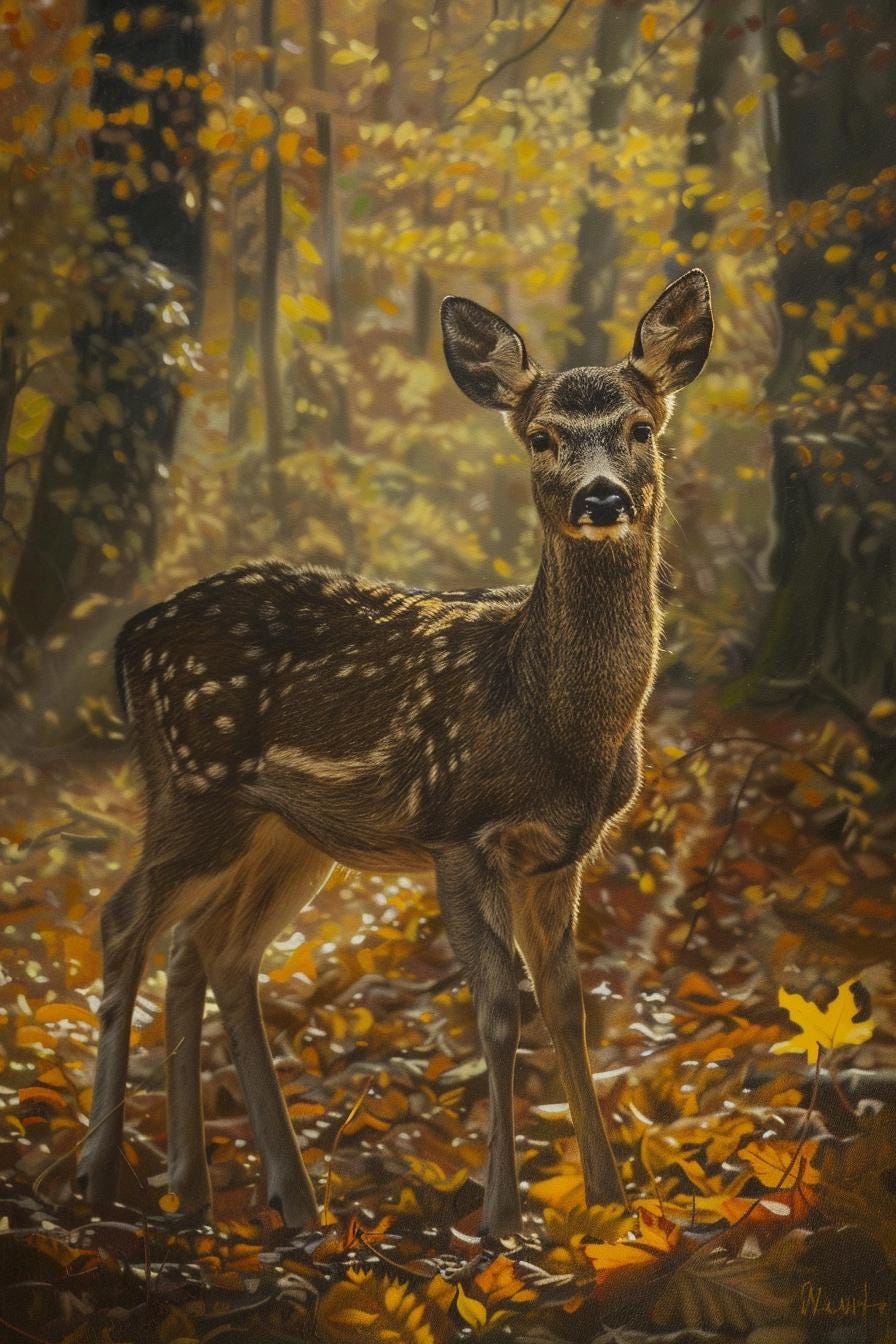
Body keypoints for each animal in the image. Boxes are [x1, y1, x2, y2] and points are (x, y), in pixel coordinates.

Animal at [76, 270, 712, 1238]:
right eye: (541, 436)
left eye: (641, 427)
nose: (601, 499)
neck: (549, 716)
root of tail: (126, 641)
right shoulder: (458, 828)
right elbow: (499, 1009)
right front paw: (500, 1217)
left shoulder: (558, 851)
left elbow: (566, 1003)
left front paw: (608, 1201)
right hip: (194, 788)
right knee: (124, 921)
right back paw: (101, 1176)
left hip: (284, 834)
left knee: (212, 948)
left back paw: (246, 1192)